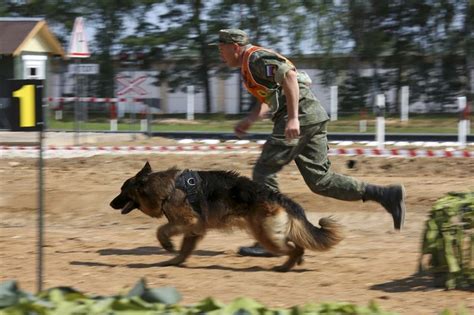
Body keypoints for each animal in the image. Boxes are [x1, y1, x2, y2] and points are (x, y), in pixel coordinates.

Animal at [109, 163, 342, 272]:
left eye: (122, 190)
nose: (111, 204)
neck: (165, 188)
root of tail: (274, 195)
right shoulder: (194, 230)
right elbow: (184, 250)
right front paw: (173, 262)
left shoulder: (188, 222)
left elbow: (161, 230)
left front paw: (167, 245)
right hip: (272, 233)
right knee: (298, 244)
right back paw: (294, 262)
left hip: (267, 236)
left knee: (293, 248)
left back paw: (285, 266)